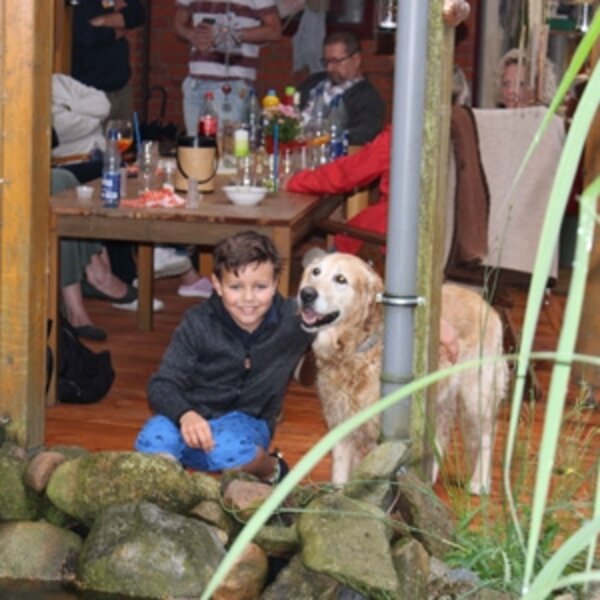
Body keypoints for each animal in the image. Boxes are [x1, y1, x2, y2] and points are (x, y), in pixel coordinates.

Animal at [298, 252, 508, 494]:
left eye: (341, 279)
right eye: (315, 272)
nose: (306, 294)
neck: (355, 350)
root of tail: (484, 303)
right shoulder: (341, 424)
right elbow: (340, 479)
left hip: (476, 397)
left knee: (486, 436)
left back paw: (479, 482)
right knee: (442, 434)